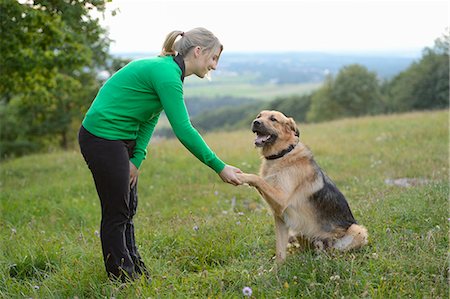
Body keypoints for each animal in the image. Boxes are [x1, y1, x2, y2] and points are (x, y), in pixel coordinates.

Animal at [237, 111, 368, 264]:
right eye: (259, 116)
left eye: (273, 119)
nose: (255, 122)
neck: (282, 154)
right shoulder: (280, 217)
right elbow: (280, 251)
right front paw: (276, 269)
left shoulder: (281, 200)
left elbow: (257, 179)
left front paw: (241, 176)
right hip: (300, 230)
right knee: (305, 250)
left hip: (358, 231)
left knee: (334, 250)